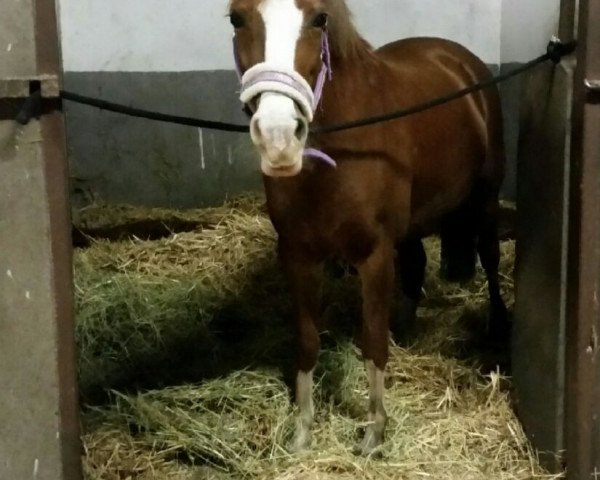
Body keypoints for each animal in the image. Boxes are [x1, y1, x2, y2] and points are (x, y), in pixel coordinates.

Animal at [229, 0, 506, 456]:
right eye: (237, 18)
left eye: (320, 18)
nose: (279, 136)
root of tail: (459, 59)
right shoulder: (297, 255)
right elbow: (307, 340)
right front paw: (303, 430)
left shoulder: (374, 255)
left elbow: (372, 340)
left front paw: (374, 431)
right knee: (415, 264)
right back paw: (406, 327)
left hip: (485, 198)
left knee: (491, 257)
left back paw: (498, 325)